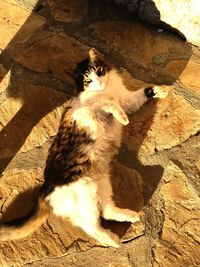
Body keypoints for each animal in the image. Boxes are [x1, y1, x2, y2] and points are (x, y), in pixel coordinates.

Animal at [0, 47, 156, 249]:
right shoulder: (91, 106)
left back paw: (130, 216)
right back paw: (113, 241)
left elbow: (144, 91)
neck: (107, 90)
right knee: (92, 227)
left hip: (102, 184)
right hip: (87, 197)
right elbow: (110, 104)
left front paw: (161, 90)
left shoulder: (128, 100)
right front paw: (123, 118)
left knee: (106, 211)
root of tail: (45, 191)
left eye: (99, 71)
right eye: (87, 81)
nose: (98, 82)